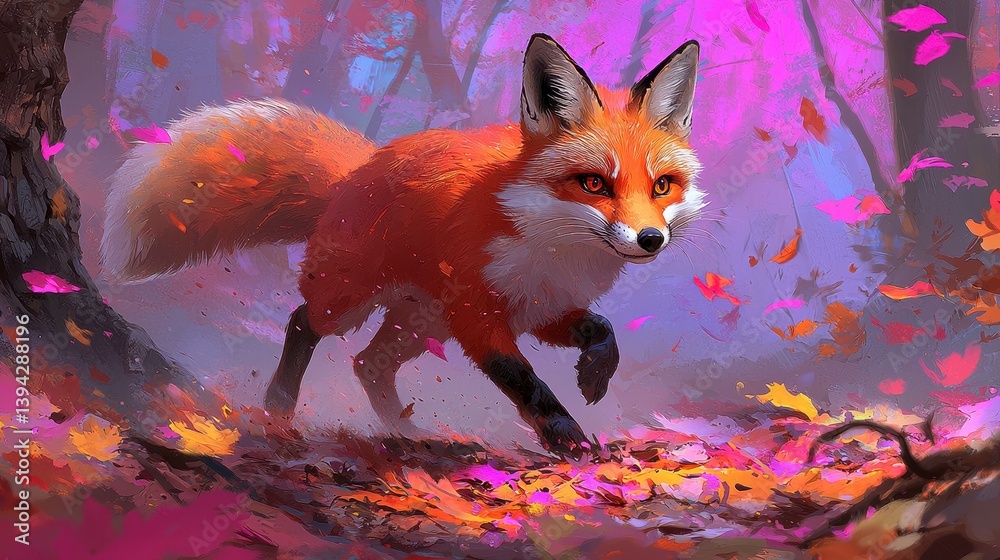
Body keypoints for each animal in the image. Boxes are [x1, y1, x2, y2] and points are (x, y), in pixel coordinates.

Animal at [101, 34, 706, 455]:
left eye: (661, 186)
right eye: (594, 184)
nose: (650, 239)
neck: (553, 247)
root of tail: (357, 173)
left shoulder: (542, 307)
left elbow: (601, 330)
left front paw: (595, 377)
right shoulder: (477, 314)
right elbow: (526, 382)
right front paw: (567, 436)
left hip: (419, 322)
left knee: (369, 364)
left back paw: (401, 430)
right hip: (354, 300)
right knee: (303, 323)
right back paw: (278, 409)